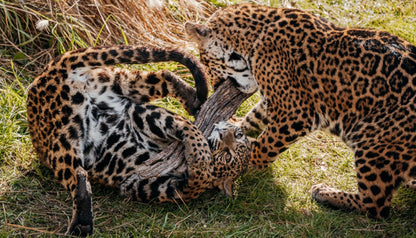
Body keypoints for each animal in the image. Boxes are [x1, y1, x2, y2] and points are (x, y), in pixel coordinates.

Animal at [185, 3, 416, 219]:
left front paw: (239, 165)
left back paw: (324, 192)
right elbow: (253, 117)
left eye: (205, 61)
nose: (216, 86)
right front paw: (236, 130)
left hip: (375, 143)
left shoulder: (295, 112)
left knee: (375, 206)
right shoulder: (274, 102)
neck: (253, 39)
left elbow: (264, 145)